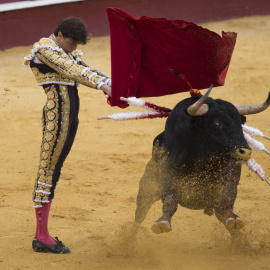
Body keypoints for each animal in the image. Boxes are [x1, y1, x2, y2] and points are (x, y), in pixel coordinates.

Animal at [134, 87, 270, 236]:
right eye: (216, 123)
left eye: (240, 124)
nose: (245, 152)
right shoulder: (167, 178)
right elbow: (170, 202)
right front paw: (162, 222)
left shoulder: (228, 180)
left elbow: (226, 203)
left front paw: (233, 219)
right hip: (147, 186)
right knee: (140, 213)